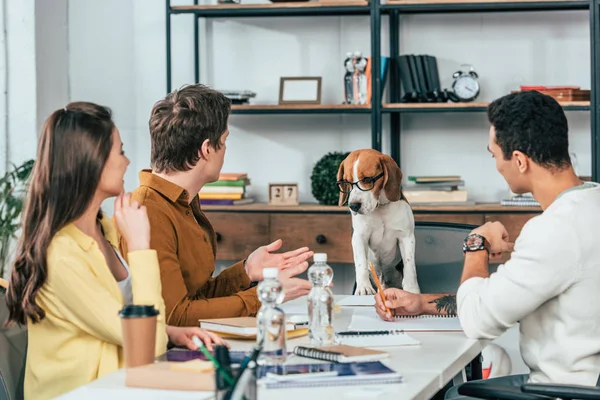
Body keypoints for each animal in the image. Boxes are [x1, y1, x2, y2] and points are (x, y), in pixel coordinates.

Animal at [336, 148, 420, 296]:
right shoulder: (359, 237)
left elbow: (409, 265)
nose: (353, 206)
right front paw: (364, 288)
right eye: (345, 182)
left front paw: (412, 290)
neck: (380, 207)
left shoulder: (406, 237)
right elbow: (361, 263)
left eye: (367, 179)